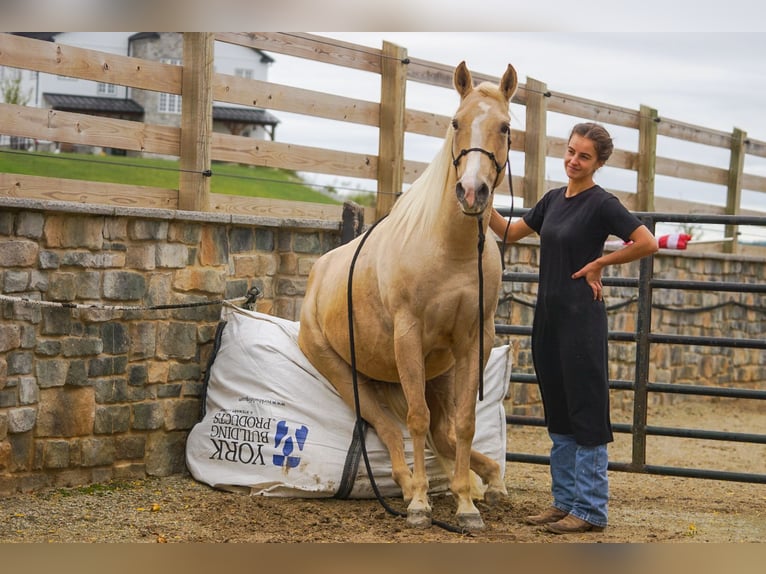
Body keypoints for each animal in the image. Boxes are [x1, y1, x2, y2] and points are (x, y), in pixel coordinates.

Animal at [298, 61, 518, 531]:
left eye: (505, 127)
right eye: (455, 122)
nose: (471, 191)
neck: (449, 249)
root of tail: (318, 276)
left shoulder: (475, 341)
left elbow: (464, 423)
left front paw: (467, 505)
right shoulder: (408, 336)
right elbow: (416, 420)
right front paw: (420, 505)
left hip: (439, 373)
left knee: (444, 434)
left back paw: (485, 481)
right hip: (345, 377)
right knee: (389, 428)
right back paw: (409, 487)